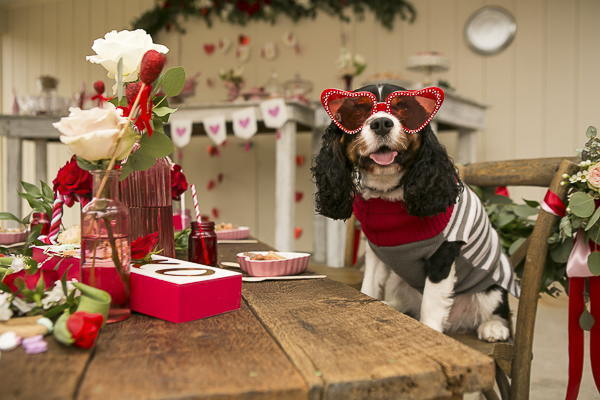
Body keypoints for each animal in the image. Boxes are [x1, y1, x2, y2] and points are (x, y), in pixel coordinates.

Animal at [312, 83, 516, 340]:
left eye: (405, 111)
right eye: (357, 113)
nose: (381, 123)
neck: (388, 194)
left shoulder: (442, 256)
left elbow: (431, 305)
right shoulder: (376, 253)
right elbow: (369, 287)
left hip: (492, 288)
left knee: (500, 308)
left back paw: (494, 326)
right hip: (399, 282)